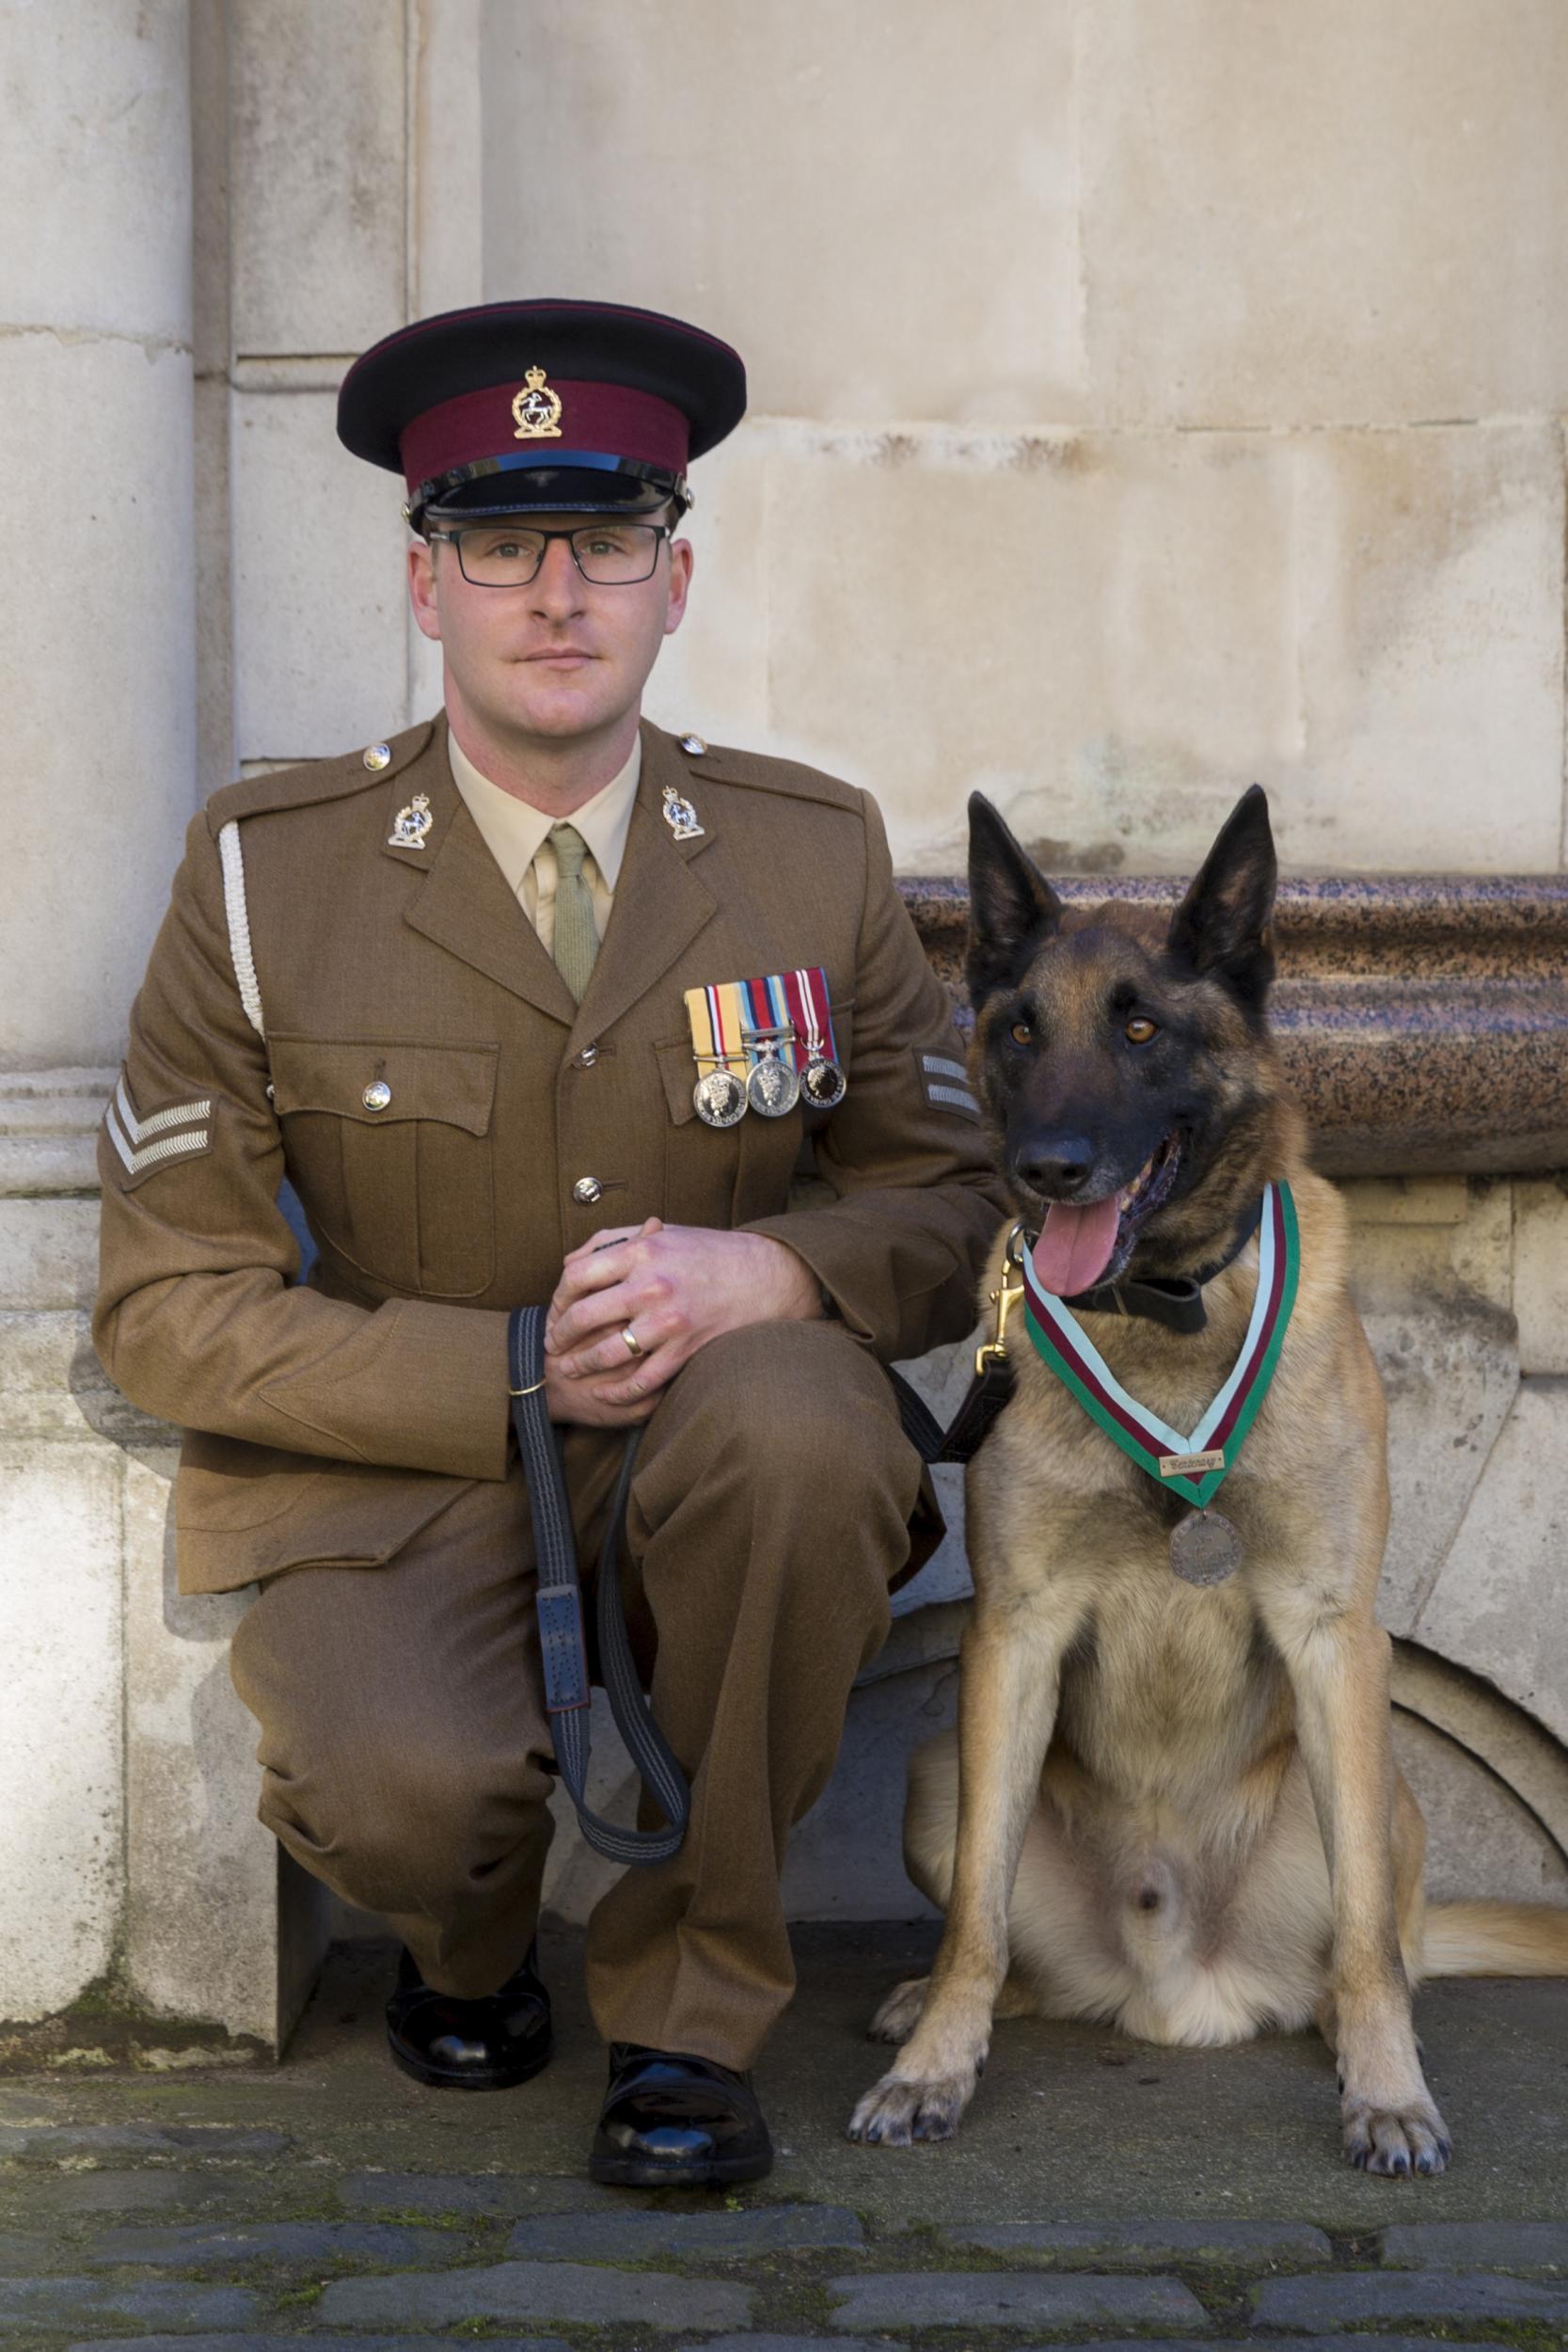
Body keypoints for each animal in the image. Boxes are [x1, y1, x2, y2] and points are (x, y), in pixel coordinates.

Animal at [850, 781, 1568, 2173]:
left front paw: (1386, 2092)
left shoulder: (1332, 1636)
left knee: (1372, 1949)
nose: (1048, 1168)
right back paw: (932, 2007)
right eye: (1018, 1031)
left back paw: (1358, 2030)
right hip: (931, 1772)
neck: (1166, 1322)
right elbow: (973, 1920)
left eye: (1140, 1027)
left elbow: (1362, 1943)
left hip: (1378, 1786)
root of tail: (1174, 1987)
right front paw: (933, 2071)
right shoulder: (1010, 1641)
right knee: (1004, 1942)